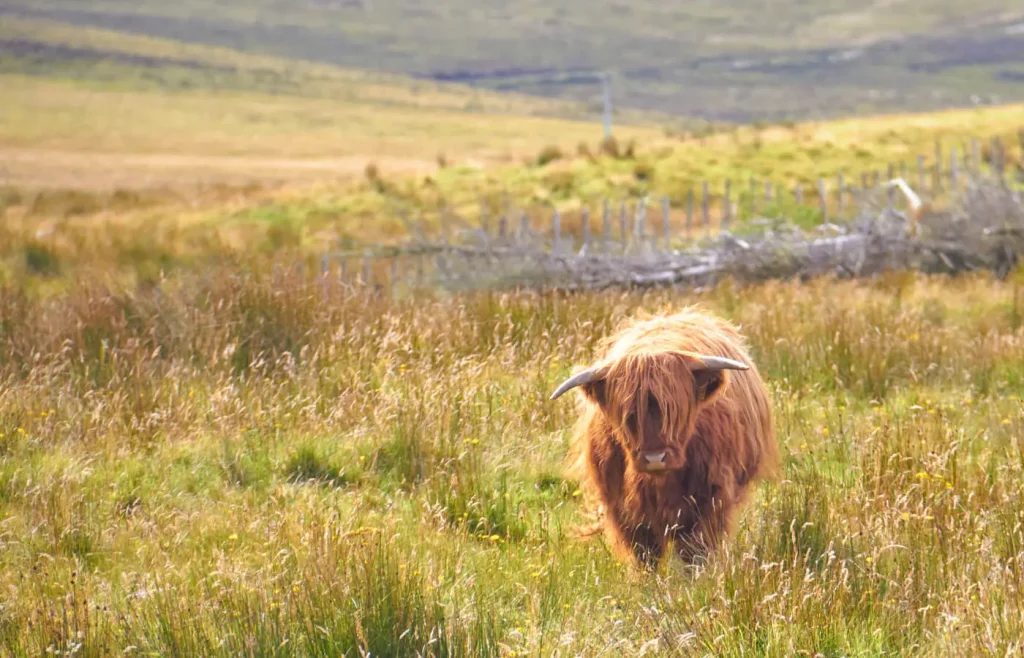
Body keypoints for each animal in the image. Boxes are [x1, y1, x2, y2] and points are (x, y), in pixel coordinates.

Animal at [550, 307, 777, 569]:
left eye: (677, 411)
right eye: (629, 416)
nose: (655, 458)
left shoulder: (712, 497)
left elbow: (695, 550)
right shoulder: (622, 508)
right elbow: (645, 553)